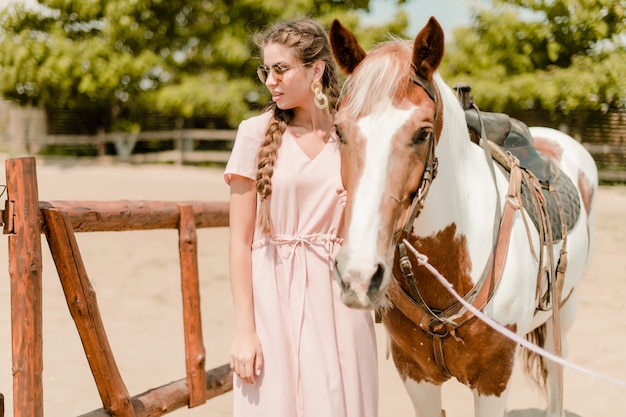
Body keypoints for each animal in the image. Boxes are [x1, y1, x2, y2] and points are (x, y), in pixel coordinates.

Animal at [326, 16, 596, 416]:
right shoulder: (414, 374)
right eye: (338, 130)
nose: (358, 275)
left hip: (565, 310)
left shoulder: (494, 379)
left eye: (423, 133)